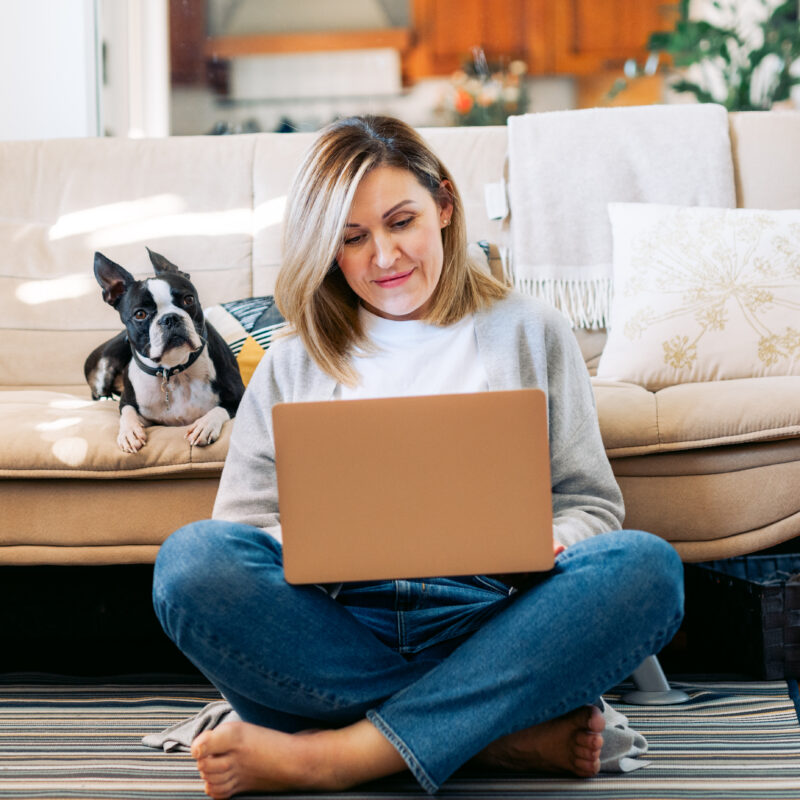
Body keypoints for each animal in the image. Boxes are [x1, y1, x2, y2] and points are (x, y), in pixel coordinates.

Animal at [85, 247, 244, 454]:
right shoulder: (131, 403)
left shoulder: (239, 396)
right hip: (105, 364)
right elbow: (127, 412)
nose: (170, 318)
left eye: (188, 299)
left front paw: (205, 425)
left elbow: (219, 409)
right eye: (140, 314)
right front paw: (129, 432)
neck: (173, 371)